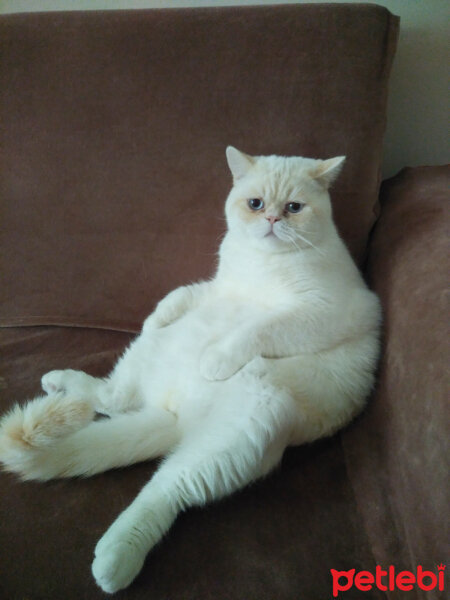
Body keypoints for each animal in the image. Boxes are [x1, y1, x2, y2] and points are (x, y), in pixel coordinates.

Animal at [0, 148, 380, 592]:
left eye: (294, 208)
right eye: (255, 204)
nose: (272, 219)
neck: (261, 264)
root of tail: (177, 415)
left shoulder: (317, 315)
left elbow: (260, 327)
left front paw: (215, 360)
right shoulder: (217, 288)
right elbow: (180, 294)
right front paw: (154, 317)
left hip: (234, 439)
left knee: (165, 489)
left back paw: (114, 560)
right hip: (157, 354)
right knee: (113, 398)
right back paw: (62, 384)